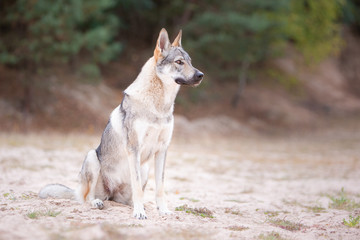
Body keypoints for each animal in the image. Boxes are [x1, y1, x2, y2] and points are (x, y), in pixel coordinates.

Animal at [39, 28, 204, 219]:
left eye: (190, 62)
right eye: (179, 62)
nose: (201, 75)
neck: (159, 107)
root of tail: (110, 193)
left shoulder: (162, 150)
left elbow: (160, 188)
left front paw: (163, 210)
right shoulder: (134, 148)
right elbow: (138, 187)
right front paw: (139, 213)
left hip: (144, 168)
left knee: (127, 199)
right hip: (92, 158)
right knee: (87, 198)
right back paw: (97, 202)